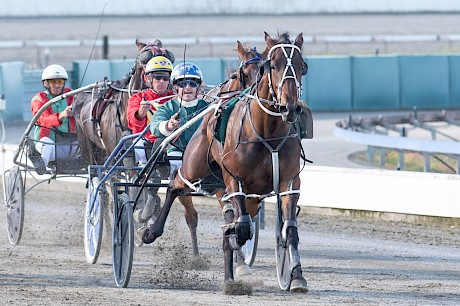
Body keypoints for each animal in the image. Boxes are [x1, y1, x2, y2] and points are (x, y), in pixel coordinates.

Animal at [143, 31, 310, 292]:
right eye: (273, 65)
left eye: (302, 67)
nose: (289, 107)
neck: (268, 133)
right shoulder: (233, 179)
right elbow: (241, 228)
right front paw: (233, 241)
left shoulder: (289, 183)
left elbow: (288, 229)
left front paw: (296, 277)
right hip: (193, 167)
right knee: (174, 186)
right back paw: (151, 231)